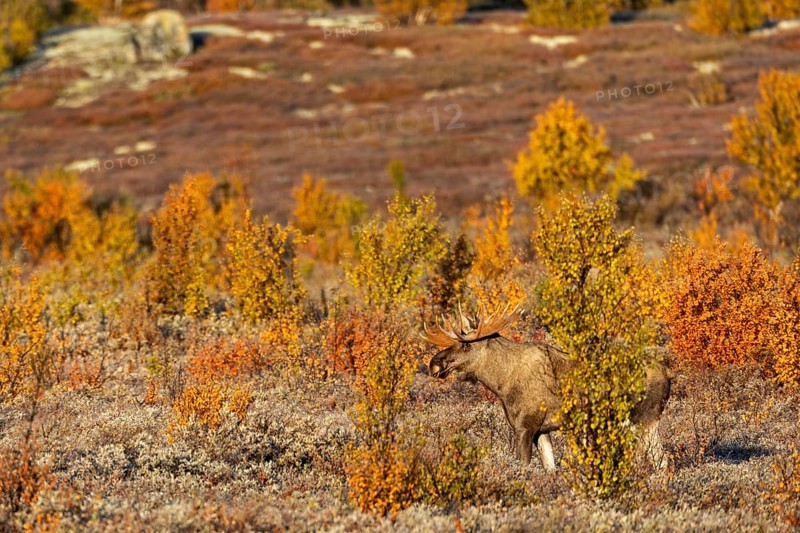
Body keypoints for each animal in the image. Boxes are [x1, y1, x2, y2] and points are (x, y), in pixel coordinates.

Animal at [423, 305, 671, 471]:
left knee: (658, 461)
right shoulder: (542, 430)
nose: (434, 364)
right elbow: (550, 468)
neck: (501, 383)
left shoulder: (525, 426)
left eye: (465, 345)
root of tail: (667, 374)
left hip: (641, 419)